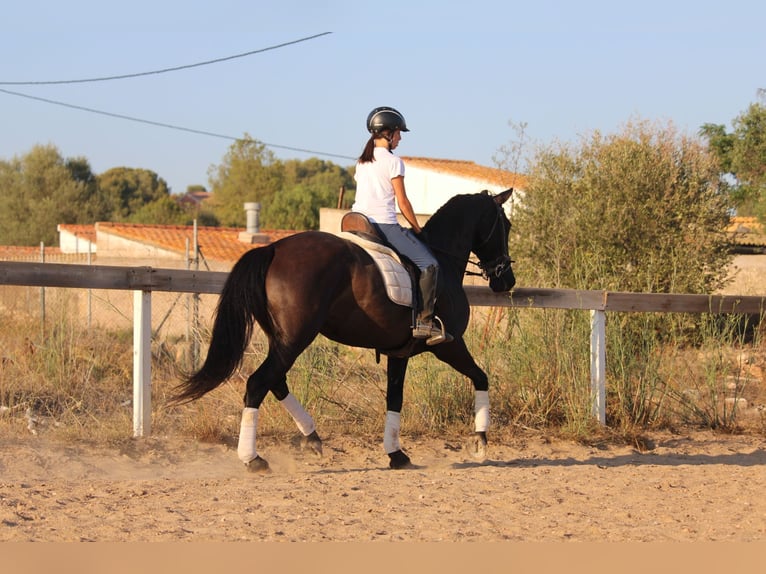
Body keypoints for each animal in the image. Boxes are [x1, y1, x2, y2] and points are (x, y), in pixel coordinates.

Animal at [172, 189, 520, 472]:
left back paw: (312, 437)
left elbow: (394, 398)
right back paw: (254, 459)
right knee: (258, 383)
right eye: (506, 225)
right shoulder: (448, 344)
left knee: (275, 382)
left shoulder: (399, 352)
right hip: (294, 340)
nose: (506, 280)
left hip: (282, 340)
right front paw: (480, 440)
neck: (443, 260)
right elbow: (481, 377)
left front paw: (396, 454)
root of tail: (273, 249)